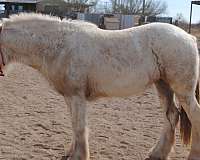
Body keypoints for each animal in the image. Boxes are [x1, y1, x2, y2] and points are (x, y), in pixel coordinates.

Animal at [0, 13, 199, 159]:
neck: (60, 46)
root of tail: (188, 37)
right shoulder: (69, 97)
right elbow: (74, 125)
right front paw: (70, 153)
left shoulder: (76, 96)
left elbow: (80, 126)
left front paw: (79, 156)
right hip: (163, 86)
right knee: (171, 116)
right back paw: (157, 153)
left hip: (183, 91)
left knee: (194, 115)